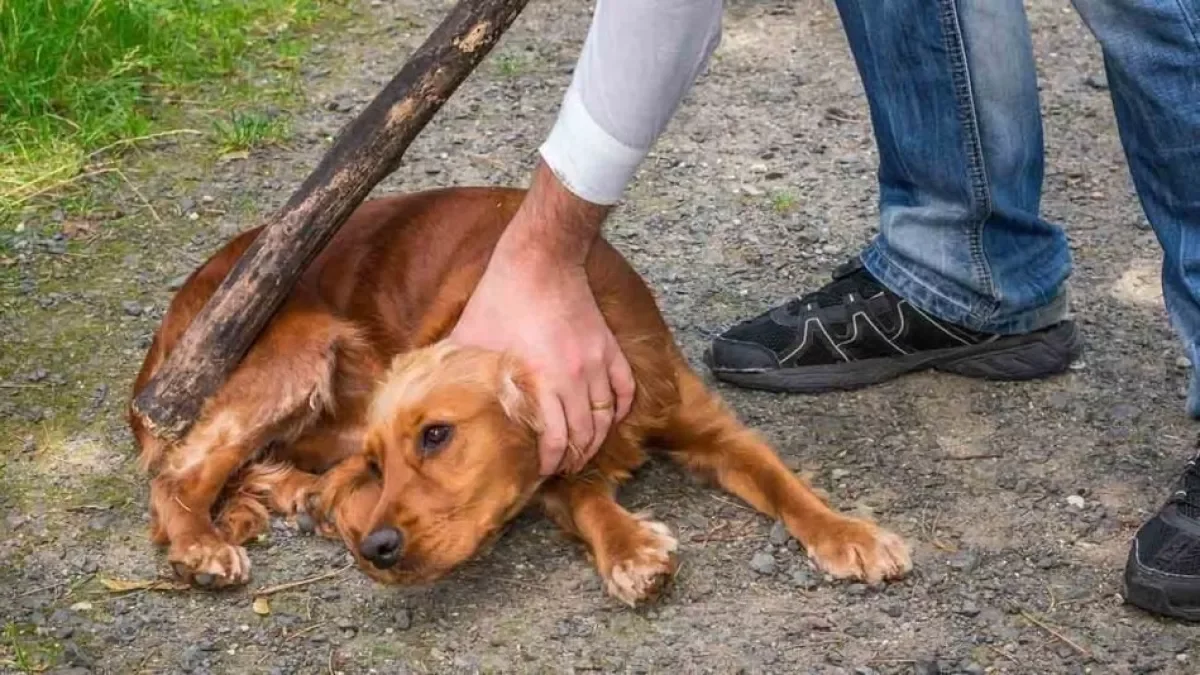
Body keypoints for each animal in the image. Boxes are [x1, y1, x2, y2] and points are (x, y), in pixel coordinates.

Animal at [126, 184, 907, 605]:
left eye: (436, 435)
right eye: (384, 460)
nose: (377, 550)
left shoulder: (709, 425)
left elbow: (785, 483)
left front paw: (851, 533)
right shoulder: (550, 469)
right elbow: (588, 501)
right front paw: (631, 549)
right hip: (298, 346)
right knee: (177, 474)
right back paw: (202, 545)